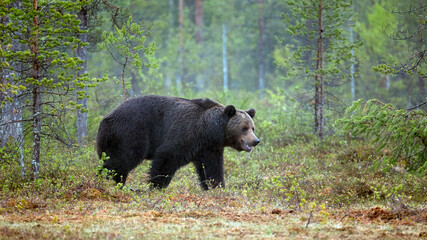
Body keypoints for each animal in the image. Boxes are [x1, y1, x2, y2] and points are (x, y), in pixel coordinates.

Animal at [95, 94, 260, 190]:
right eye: (244, 128)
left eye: (252, 127)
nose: (255, 141)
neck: (209, 131)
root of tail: (105, 119)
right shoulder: (185, 134)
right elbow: (166, 158)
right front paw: (156, 185)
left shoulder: (209, 148)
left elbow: (212, 168)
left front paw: (216, 186)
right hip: (130, 132)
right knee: (123, 158)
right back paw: (109, 180)